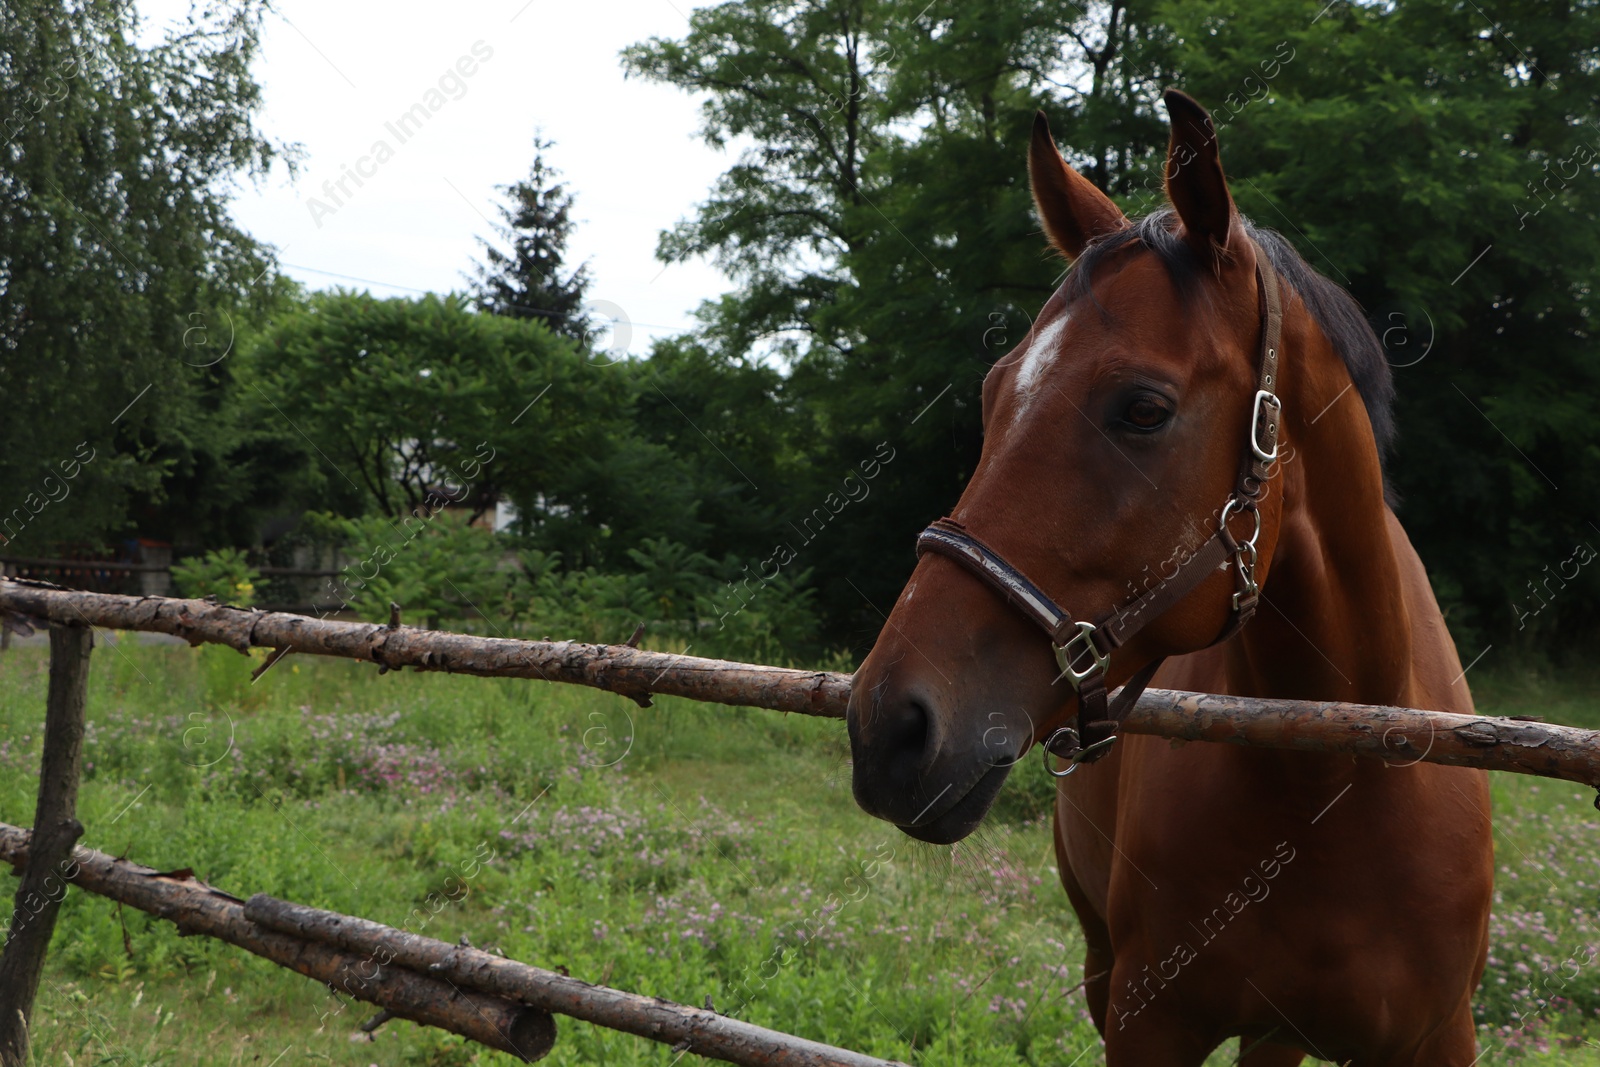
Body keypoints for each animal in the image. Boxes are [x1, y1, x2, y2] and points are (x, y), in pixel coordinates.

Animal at [844, 87, 1491, 1062]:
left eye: (1143, 409)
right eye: (996, 394)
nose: (889, 724)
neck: (1341, 781)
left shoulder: (1441, 1035)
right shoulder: (1146, 1020)